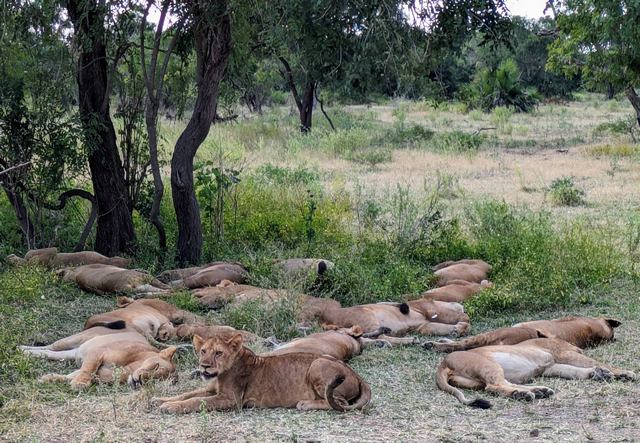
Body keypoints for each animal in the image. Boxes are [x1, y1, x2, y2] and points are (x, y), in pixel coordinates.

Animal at [20, 329, 177, 390]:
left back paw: (26, 353)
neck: (129, 369)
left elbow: (71, 375)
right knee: (50, 346)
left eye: (155, 380)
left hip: (70, 353)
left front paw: (49, 378)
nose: (140, 381)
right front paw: (80, 383)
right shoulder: (98, 352)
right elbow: (88, 369)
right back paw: (21, 348)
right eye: (156, 366)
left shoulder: (100, 375)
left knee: (50, 353)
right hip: (73, 340)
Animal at [153, 333, 371, 413]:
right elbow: (187, 394)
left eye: (218, 353)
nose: (204, 366)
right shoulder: (212, 388)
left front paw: (170, 407)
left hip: (318, 363)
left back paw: (305, 404)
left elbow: (196, 401)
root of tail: (357, 374)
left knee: (340, 403)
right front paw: (159, 400)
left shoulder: (231, 399)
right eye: (203, 351)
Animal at [436, 337, 635, 408]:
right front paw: (623, 373)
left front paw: (599, 374)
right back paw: (525, 394)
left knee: (501, 384)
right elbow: (595, 362)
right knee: (494, 386)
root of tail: (443, 363)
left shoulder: (551, 366)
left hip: (478, 379)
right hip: (488, 365)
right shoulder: (562, 354)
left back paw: (538, 391)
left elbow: (576, 371)